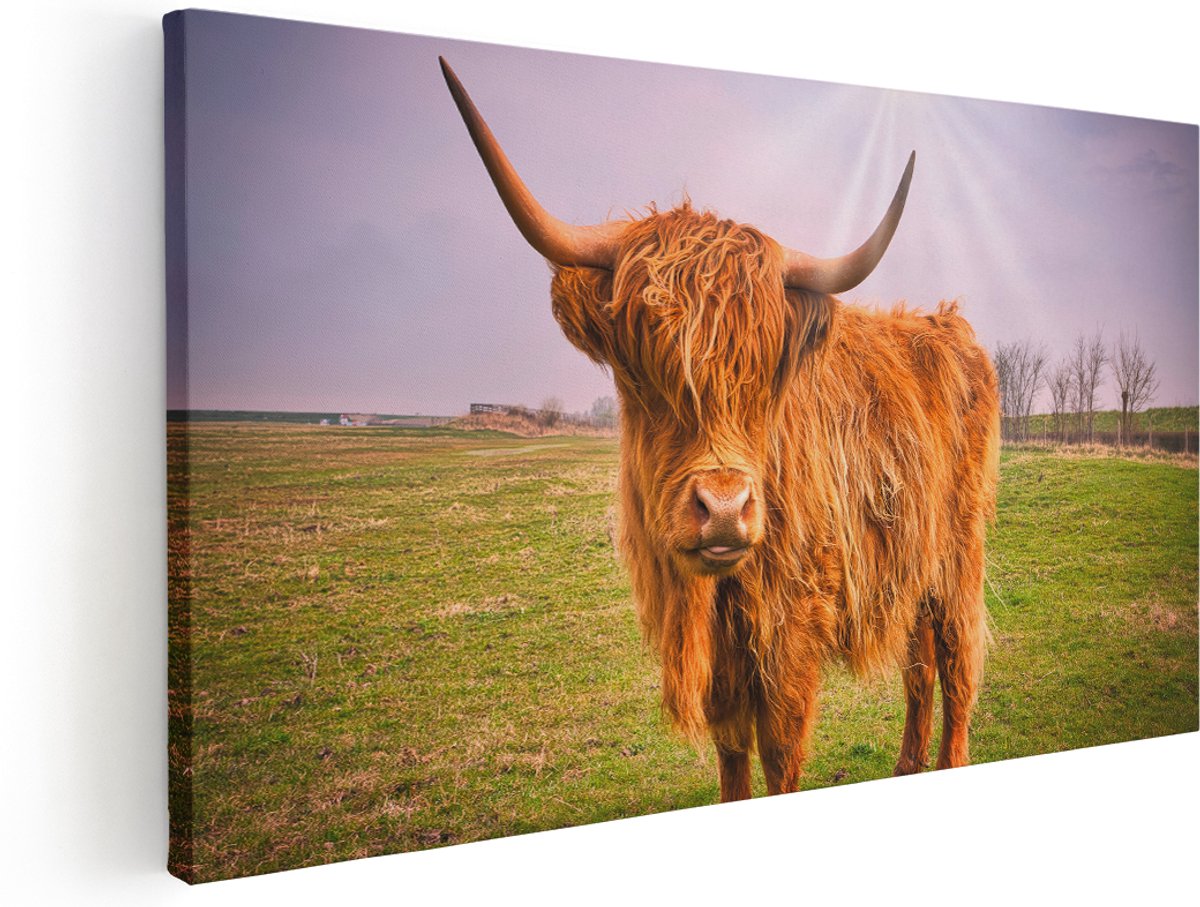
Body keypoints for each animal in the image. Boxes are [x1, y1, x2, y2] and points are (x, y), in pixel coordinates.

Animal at [440, 58, 999, 800]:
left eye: (766, 375)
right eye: (641, 367)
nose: (727, 509)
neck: (715, 600)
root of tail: (946, 324)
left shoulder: (792, 626)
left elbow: (780, 751)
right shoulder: (726, 661)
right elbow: (733, 750)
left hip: (958, 551)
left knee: (957, 654)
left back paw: (949, 760)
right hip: (909, 554)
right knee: (920, 659)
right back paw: (908, 764)